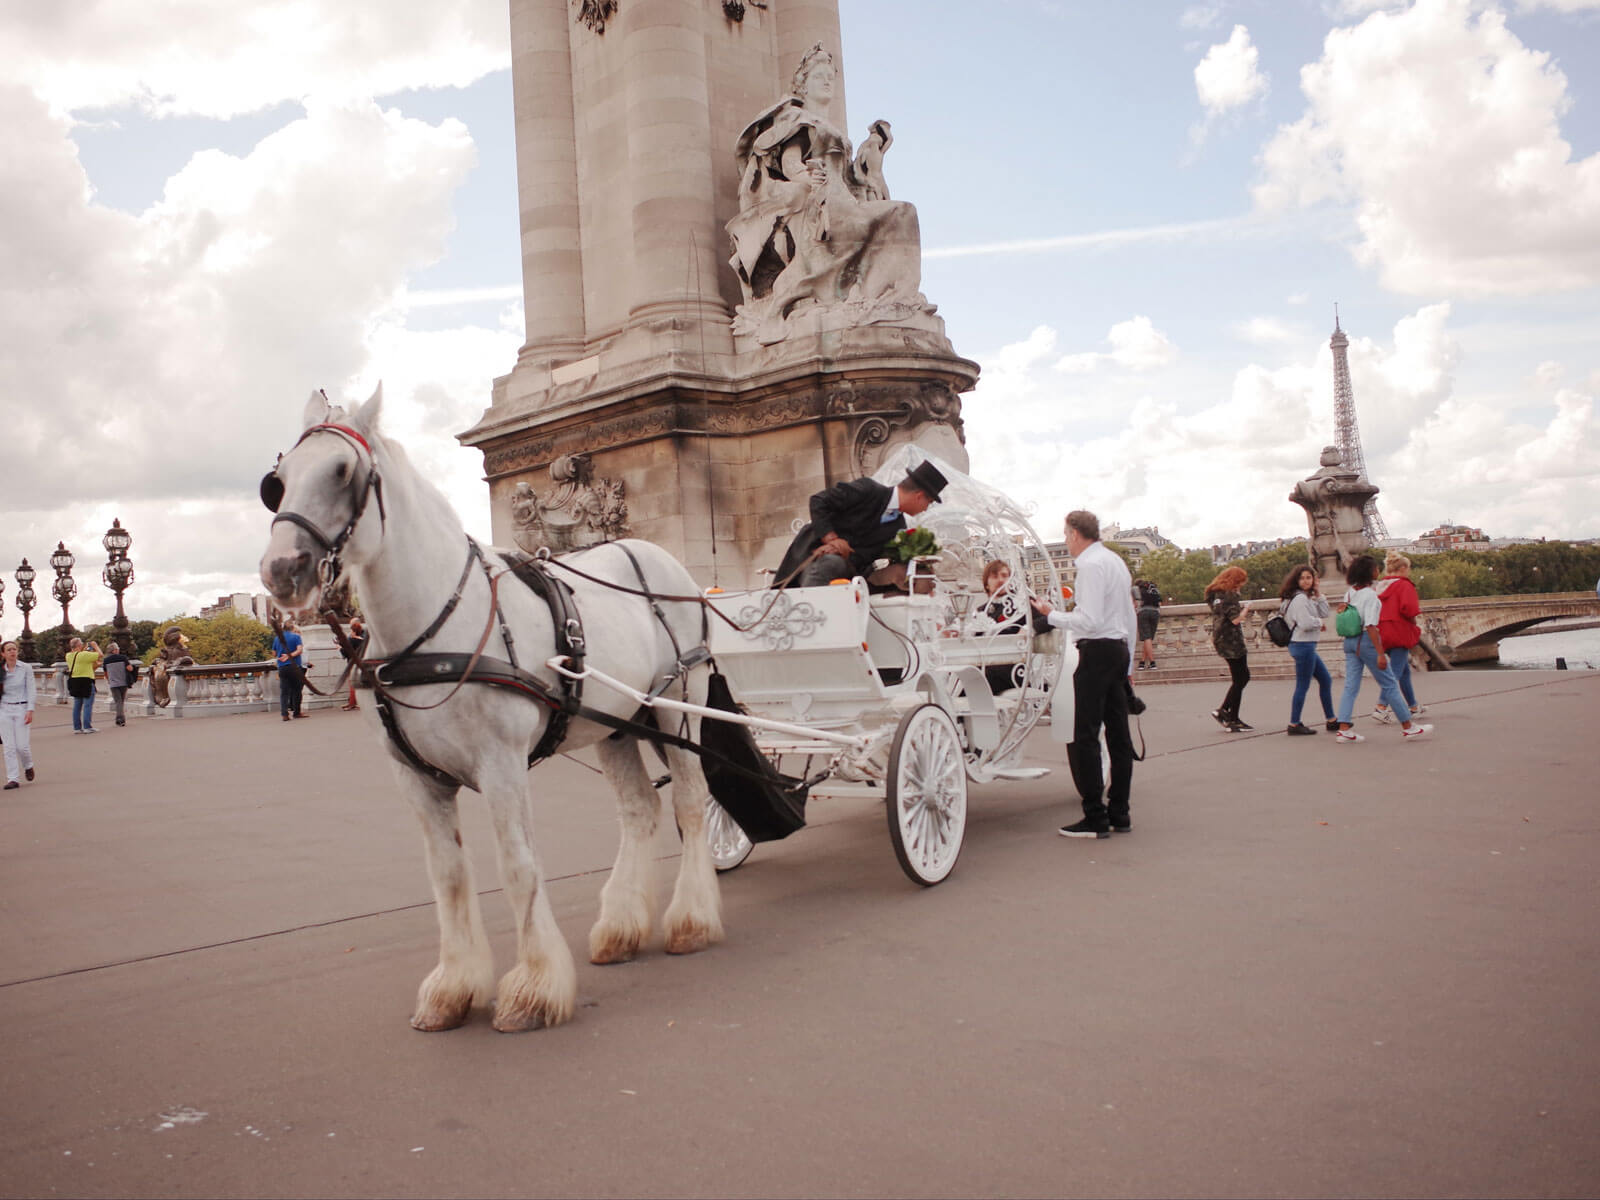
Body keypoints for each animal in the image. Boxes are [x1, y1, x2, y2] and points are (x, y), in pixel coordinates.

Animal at [257, 387, 726, 1036]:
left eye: (342, 471)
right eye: (276, 483)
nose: (282, 570)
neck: (427, 632)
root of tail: (657, 553)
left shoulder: (501, 765)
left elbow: (518, 865)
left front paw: (533, 988)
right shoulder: (416, 778)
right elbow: (450, 876)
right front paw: (453, 986)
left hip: (680, 703)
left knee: (688, 801)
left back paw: (691, 920)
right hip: (612, 725)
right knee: (640, 810)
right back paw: (621, 928)